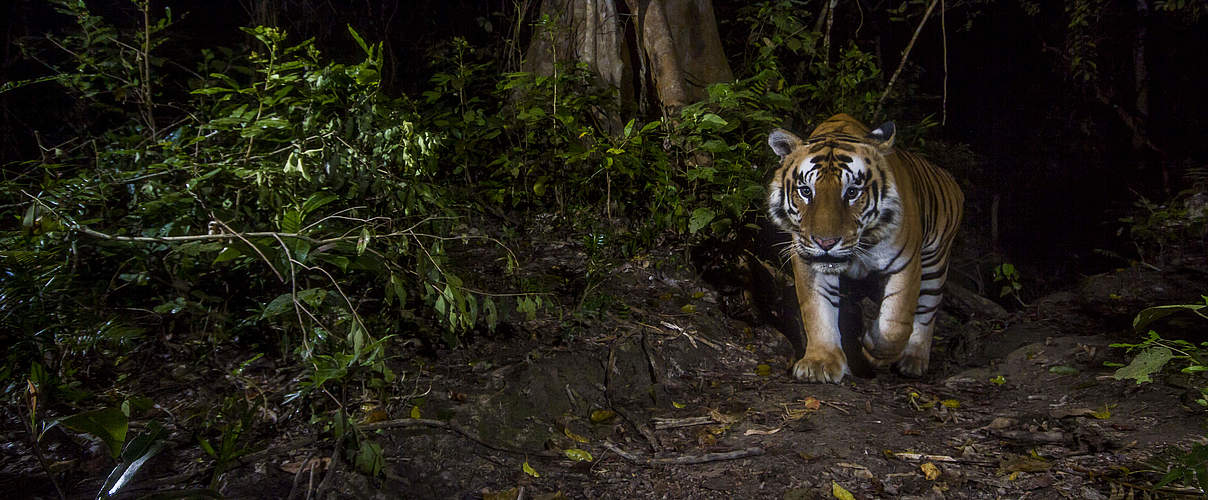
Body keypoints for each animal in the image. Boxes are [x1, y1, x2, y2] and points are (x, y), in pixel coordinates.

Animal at [768, 114, 966, 381]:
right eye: (806, 191)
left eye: (852, 192)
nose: (825, 242)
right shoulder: (808, 259)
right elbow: (817, 310)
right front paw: (820, 363)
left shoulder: (906, 264)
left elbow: (895, 322)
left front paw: (873, 346)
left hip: (935, 264)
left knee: (927, 312)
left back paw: (913, 361)